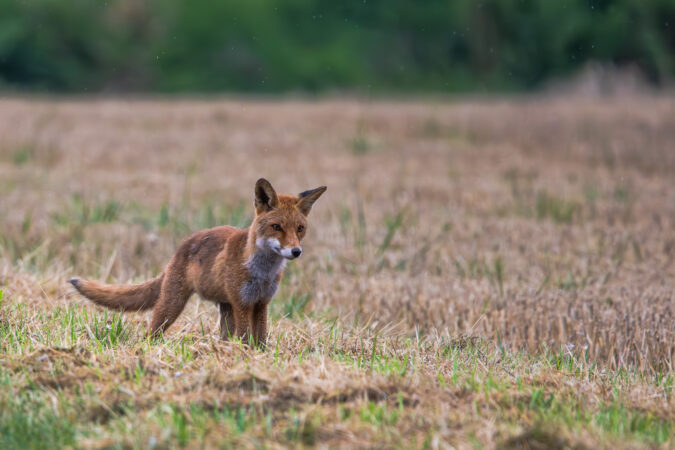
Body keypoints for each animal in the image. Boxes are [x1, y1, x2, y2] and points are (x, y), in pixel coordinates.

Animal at [69, 178, 326, 347]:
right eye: (276, 227)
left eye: (300, 228)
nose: (296, 251)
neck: (263, 272)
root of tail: (184, 243)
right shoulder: (243, 302)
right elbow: (245, 337)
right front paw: (246, 356)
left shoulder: (261, 302)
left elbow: (260, 338)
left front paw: (259, 357)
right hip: (172, 304)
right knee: (151, 332)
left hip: (225, 308)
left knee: (224, 335)